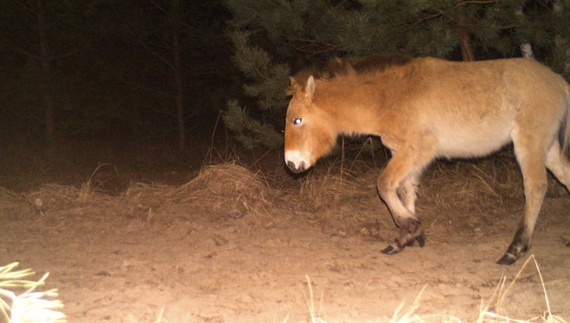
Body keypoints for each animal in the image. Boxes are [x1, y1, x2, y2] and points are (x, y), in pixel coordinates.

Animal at [282, 53, 568, 266]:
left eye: (297, 120)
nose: (291, 164)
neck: (389, 97)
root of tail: (558, 80)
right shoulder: (405, 155)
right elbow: (405, 192)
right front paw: (408, 236)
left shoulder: (416, 151)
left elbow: (384, 185)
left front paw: (410, 228)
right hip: (547, 147)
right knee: (564, 176)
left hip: (529, 144)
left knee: (535, 188)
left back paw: (514, 250)